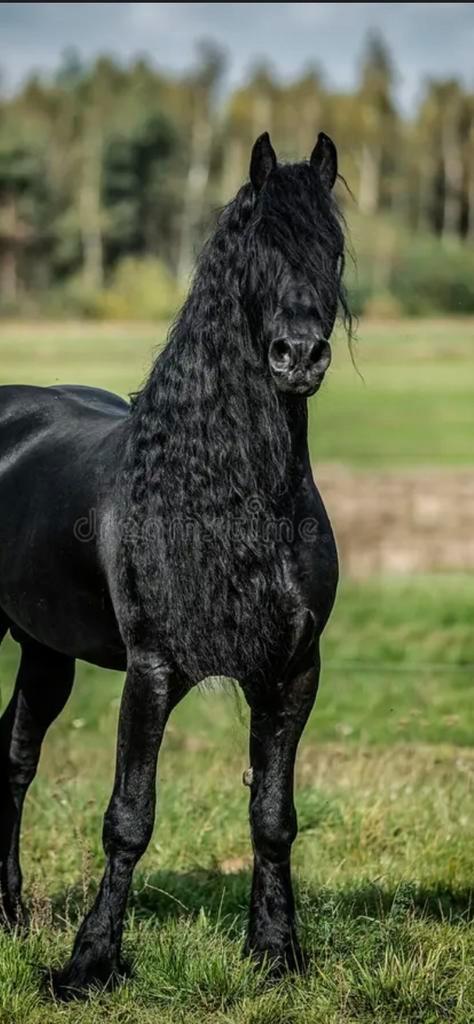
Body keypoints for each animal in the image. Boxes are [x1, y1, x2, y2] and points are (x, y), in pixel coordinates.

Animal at [0, 130, 349, 997]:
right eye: (255, 249)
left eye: (333, 251)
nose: (299, 356)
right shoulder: (153, 670)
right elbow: (129, 818)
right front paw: (88, 965)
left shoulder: (292, 671)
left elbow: (273, 817)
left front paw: (276, 953)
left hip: (44, 649)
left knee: (14, 759)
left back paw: (11, 916)